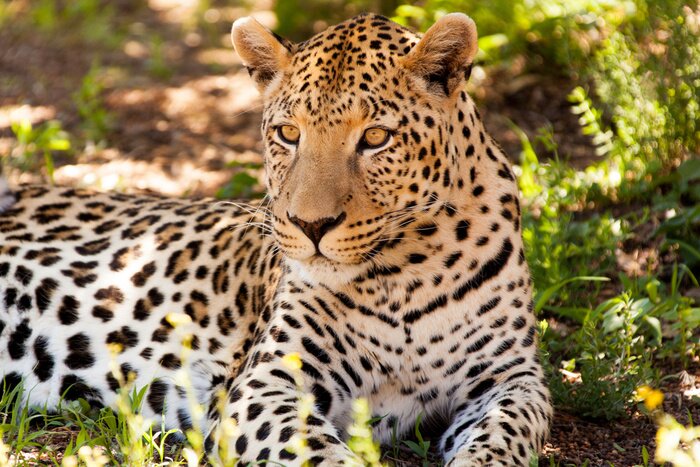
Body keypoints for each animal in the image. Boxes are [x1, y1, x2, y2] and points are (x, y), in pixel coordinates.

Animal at [0, 13, 552, 466]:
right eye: (288, 133)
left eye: (376, 138)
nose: (312, 225)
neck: (406, 273)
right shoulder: (265, 386)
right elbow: (320, 456)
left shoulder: (513, 378)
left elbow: (507, 434)